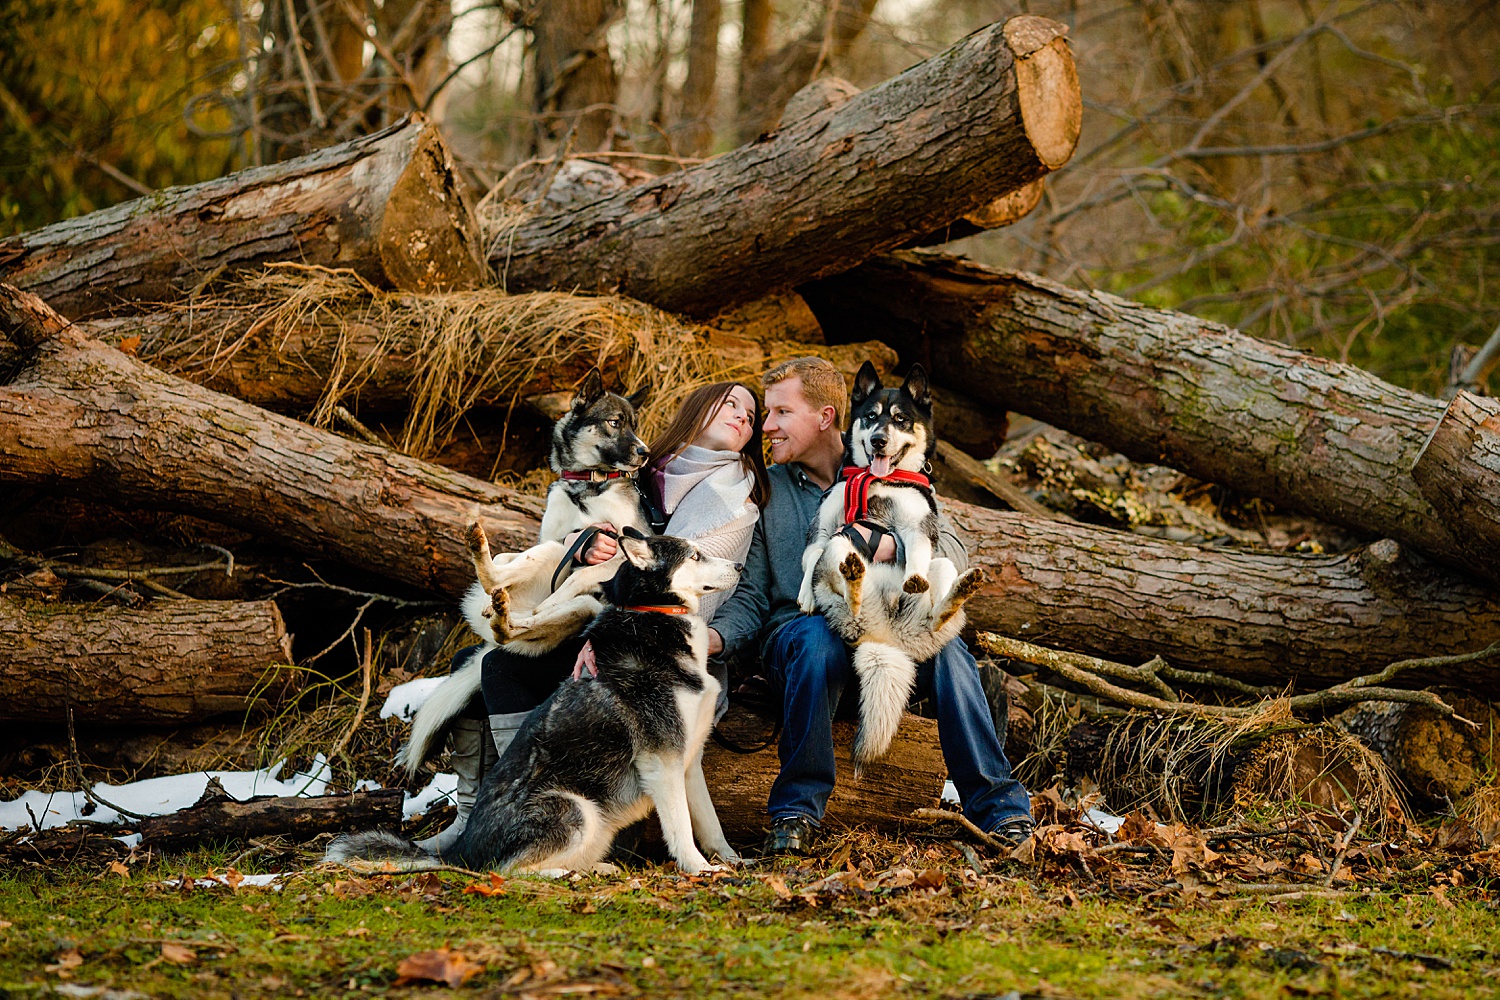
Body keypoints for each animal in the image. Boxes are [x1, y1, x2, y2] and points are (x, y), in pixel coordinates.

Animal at [331, 530, 747, 875]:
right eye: (695, 555)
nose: (740, 566)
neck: (654, 617)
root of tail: (459, 854)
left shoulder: (688, 760)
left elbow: (709, 823)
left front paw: (730, 859)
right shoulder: (662, 761)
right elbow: (681, 828)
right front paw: (699, 868)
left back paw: (595, 868)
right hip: (575, 810)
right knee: (508, 871)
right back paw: (564, 874)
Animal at [396, 371, 654, 779]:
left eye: (635, 425)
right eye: (615, 423)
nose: (645, 452)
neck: (587, 485)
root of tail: (493, 640)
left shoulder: (625, 552)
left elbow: (575, 580)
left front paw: (545, 603)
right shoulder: (569, 540)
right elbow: (567, 563)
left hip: (577, 609)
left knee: (523, 621)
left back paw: (507, 610)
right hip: (546, 556)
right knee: (506, 574)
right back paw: (491, 582)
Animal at [798, 364, 984, 773]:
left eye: (900, 419)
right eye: (870, 416)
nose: (879, 440)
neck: (878, 478)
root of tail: (884, 636)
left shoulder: (917, 529)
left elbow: (915, 552)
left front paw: (913, 579)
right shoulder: (823, 531)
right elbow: (809, 558)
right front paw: (804, 594)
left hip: (942, 571)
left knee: (938, 601)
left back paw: (948, 596)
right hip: (842, 548)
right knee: (846, 588)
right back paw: (853, 578)